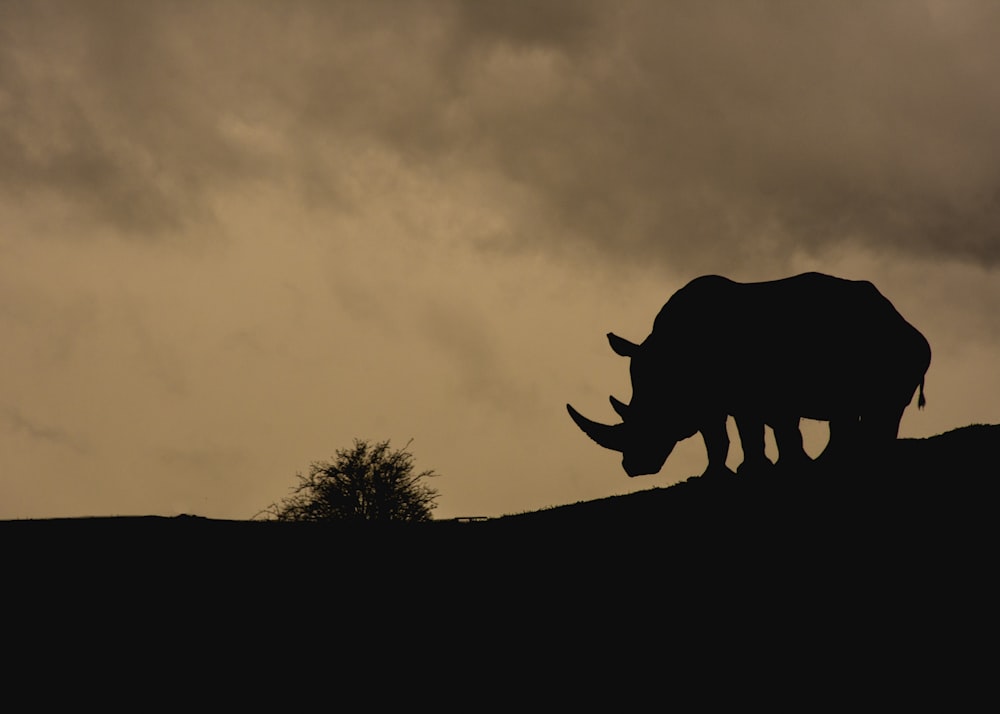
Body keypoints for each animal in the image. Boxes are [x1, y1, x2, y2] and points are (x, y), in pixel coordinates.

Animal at [568, 272, 932, 478]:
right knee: (850, 410)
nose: (634, 468)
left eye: (651, 417)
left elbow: (736, 431)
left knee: (876, 408)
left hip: (889, 346)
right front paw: (723, 474)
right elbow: (727, 434)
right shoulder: (723, 397)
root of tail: (903, 320)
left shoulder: (735, 393)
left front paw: (744, 472)